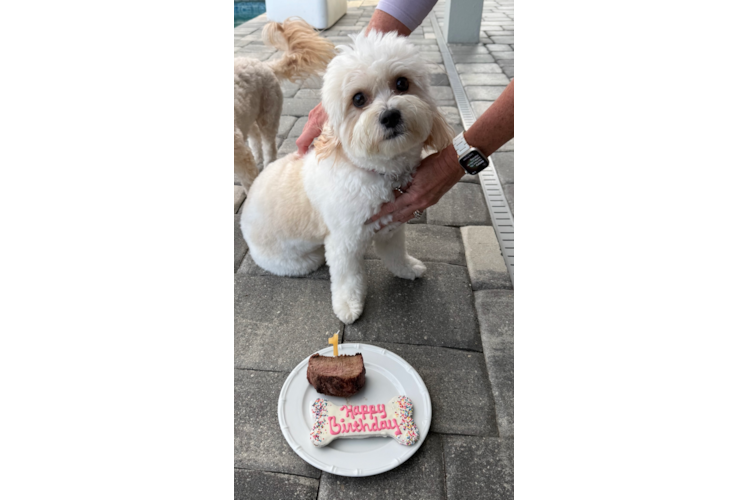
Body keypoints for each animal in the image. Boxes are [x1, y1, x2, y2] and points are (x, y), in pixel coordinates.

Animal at [235, 18, 334, 193]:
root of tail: (265, 65)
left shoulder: (239, 154)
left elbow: (248, 180)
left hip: (268, 113)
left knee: (268, 145)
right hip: (249, 113)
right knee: (254, 135)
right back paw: (258, 158)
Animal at [241, 33, 450, 326]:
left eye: (402, 83)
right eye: (358, 99)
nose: (390, 115)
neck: (374, 171)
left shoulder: (391, 226)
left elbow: (396, 254)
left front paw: (408, 269)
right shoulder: (344, 243)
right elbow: (348, 278)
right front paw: (348, 306)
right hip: (297, 261)